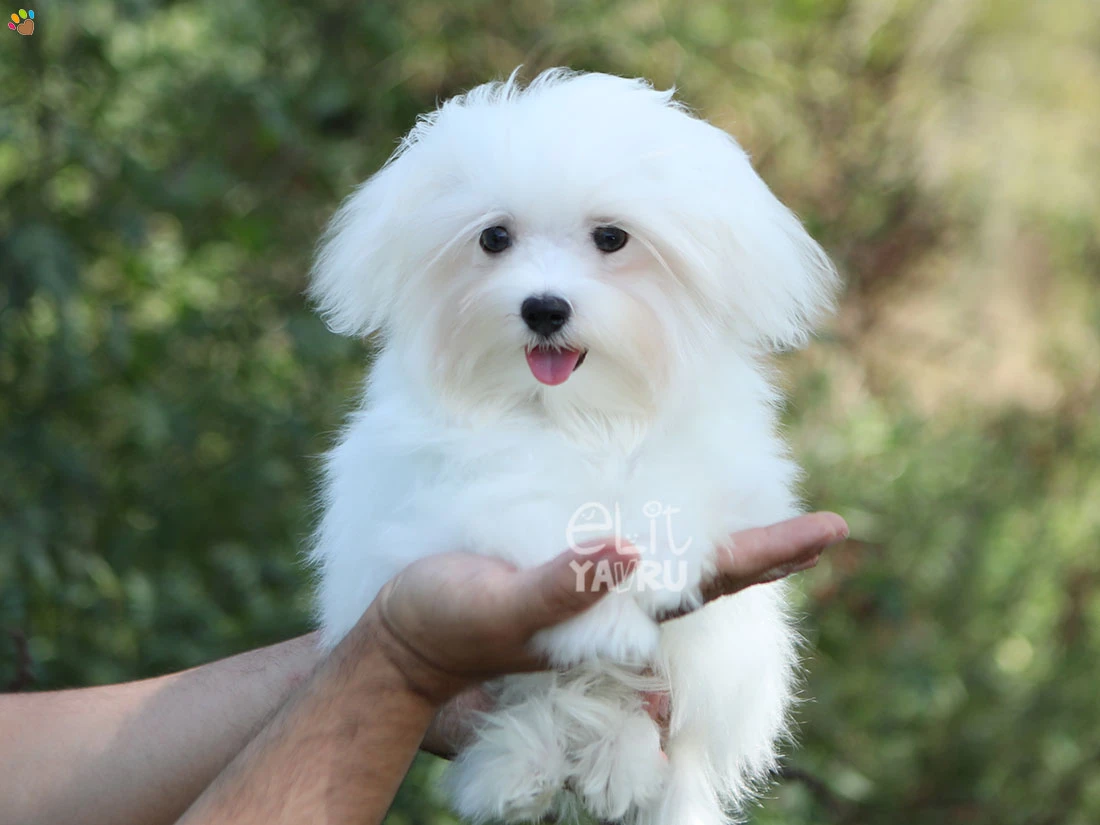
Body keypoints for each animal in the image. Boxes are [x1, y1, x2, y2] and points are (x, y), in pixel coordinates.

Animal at [305, 69, 836, 825]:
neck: (576, 411)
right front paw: (597, 611)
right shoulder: (448, 491)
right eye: (494, 237)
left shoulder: (711, 460)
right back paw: (519, 766)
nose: (543, 307)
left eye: (611, 238)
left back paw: (615, 761)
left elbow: (668, 495)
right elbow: (526, 510)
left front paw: (648, 572)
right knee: (550, 700)